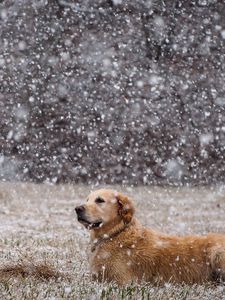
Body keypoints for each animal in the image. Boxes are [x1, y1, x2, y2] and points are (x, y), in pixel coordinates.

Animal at [75, 189, 225, 284]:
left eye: (100, 200)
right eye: (87, 199)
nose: (77, 208)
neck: (115, 234)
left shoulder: (121, 281)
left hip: (217, 253)